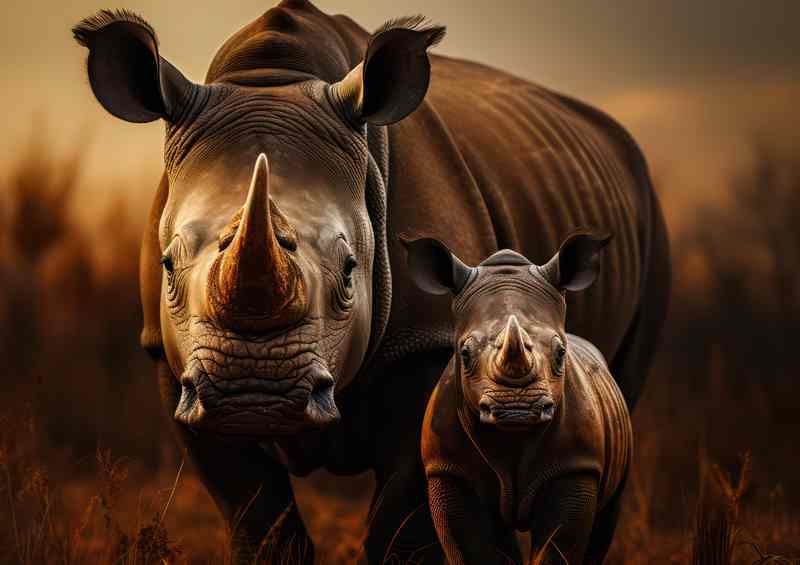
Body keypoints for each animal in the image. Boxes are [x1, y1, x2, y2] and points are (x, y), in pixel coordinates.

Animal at [406, 234, 632, 564]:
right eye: (464, 353)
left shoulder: (575, 465)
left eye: (560, 353)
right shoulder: (448, 470)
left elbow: (557, 547)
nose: (516, 409)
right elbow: (470, 549)